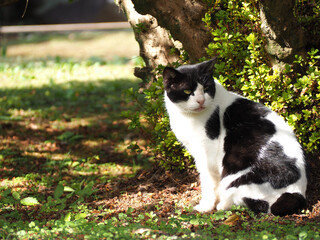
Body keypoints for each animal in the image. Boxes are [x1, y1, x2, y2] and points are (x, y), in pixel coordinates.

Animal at [162, 58, 308, 216]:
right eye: (187, 91)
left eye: (206, 88)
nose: (201, 101)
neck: (187, 116)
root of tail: (297, 193)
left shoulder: (206, 152)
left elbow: (208, 181)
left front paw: (206, 205)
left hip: (236, 175)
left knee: (246, 200)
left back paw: (222, 205)